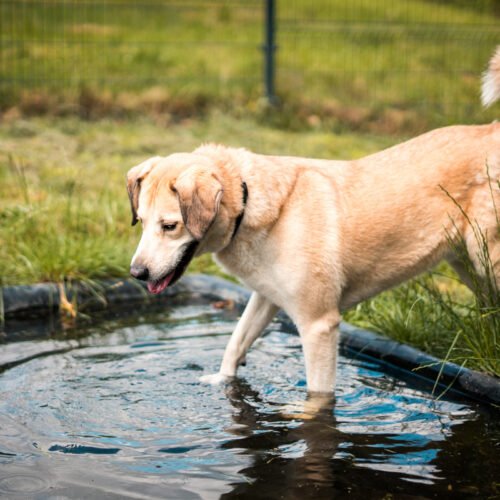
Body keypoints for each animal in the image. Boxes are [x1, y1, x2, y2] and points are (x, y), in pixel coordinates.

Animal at [128, 47, 500, 392]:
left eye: (170, 226)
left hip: (487, 258)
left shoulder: (319, 324)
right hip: (468, 265)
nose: (136, 274)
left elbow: (317, 398)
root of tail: (493, 128)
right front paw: (222, 381)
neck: (251, 204)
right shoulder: (265, 297)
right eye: (141, 222)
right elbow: (235, 342)